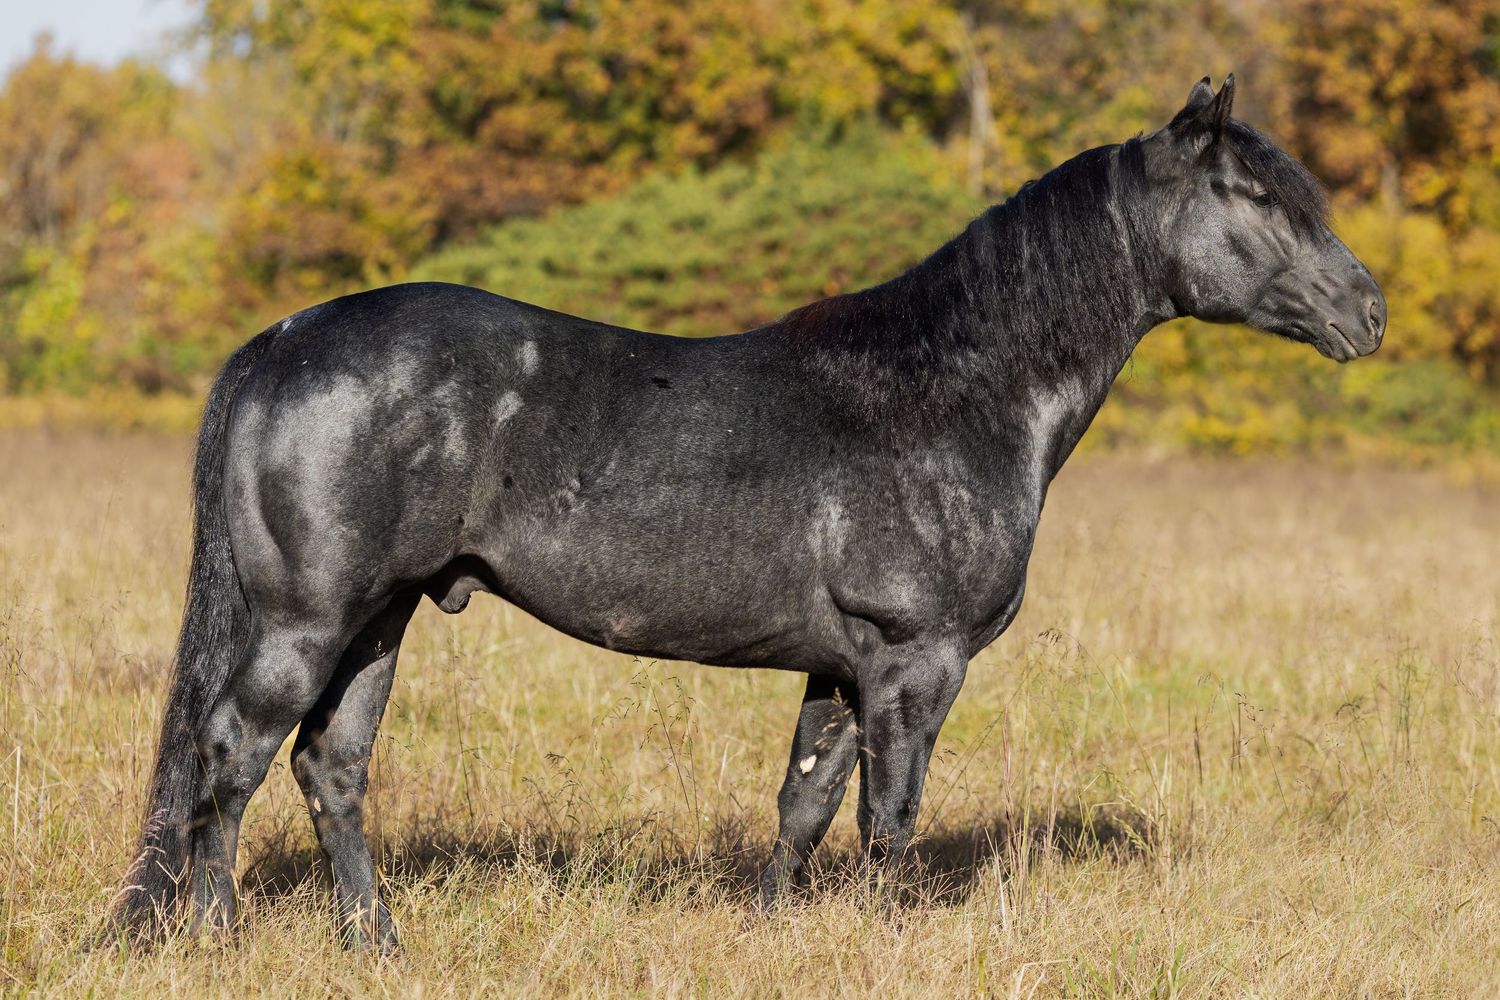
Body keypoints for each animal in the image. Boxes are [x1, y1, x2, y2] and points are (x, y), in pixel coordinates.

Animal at [108, 75, 1384, 952]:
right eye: (1252, 196)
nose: (1369, 311)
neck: (956, 386)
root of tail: (281, 341)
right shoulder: (917, 663)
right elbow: (888, 818)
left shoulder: (841, 667)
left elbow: (804, 803)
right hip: (308, 619)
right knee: (233, 751)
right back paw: (218, 935)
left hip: (381, 617)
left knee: (329, 766)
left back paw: (375, 944)